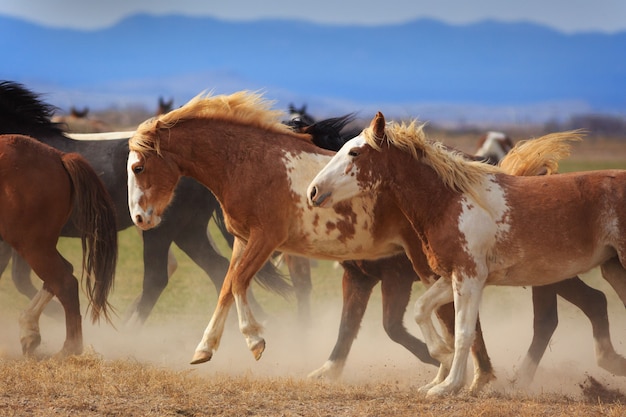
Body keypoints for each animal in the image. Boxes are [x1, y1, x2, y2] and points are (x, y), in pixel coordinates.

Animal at [0, 133, 117, 354]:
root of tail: (59, 157)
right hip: (40, 245)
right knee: (63, 274)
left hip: (33, 246)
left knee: (64, 283)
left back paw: (69, 348)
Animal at [304, 111, 624, 396]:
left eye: (355, 152)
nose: (313, 191)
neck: (450, 203)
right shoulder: (450, 276)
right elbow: (423, 311)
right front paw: (442, 364)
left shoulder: (468, 278)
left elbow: (462, 332)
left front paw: (448, 385)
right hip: (610, 269)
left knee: (560, 316)